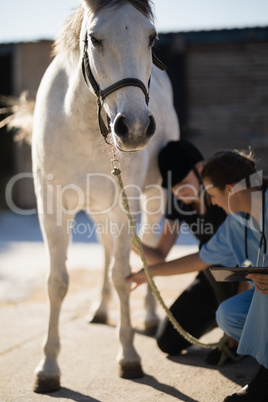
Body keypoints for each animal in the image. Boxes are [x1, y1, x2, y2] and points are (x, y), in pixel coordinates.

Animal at [30, 0, 179, 394]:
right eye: (95, 39)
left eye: (151, 37)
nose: (136, 128)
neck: (82, 123)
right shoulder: (51, 209)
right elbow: (57, 282)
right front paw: (48, 367)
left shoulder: (124, 206)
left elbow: (123, 275)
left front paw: (129, 356)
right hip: (100, 212)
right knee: (107, 248)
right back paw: (100, 309)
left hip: (150, 201)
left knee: (145, 246)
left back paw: (149, 316)